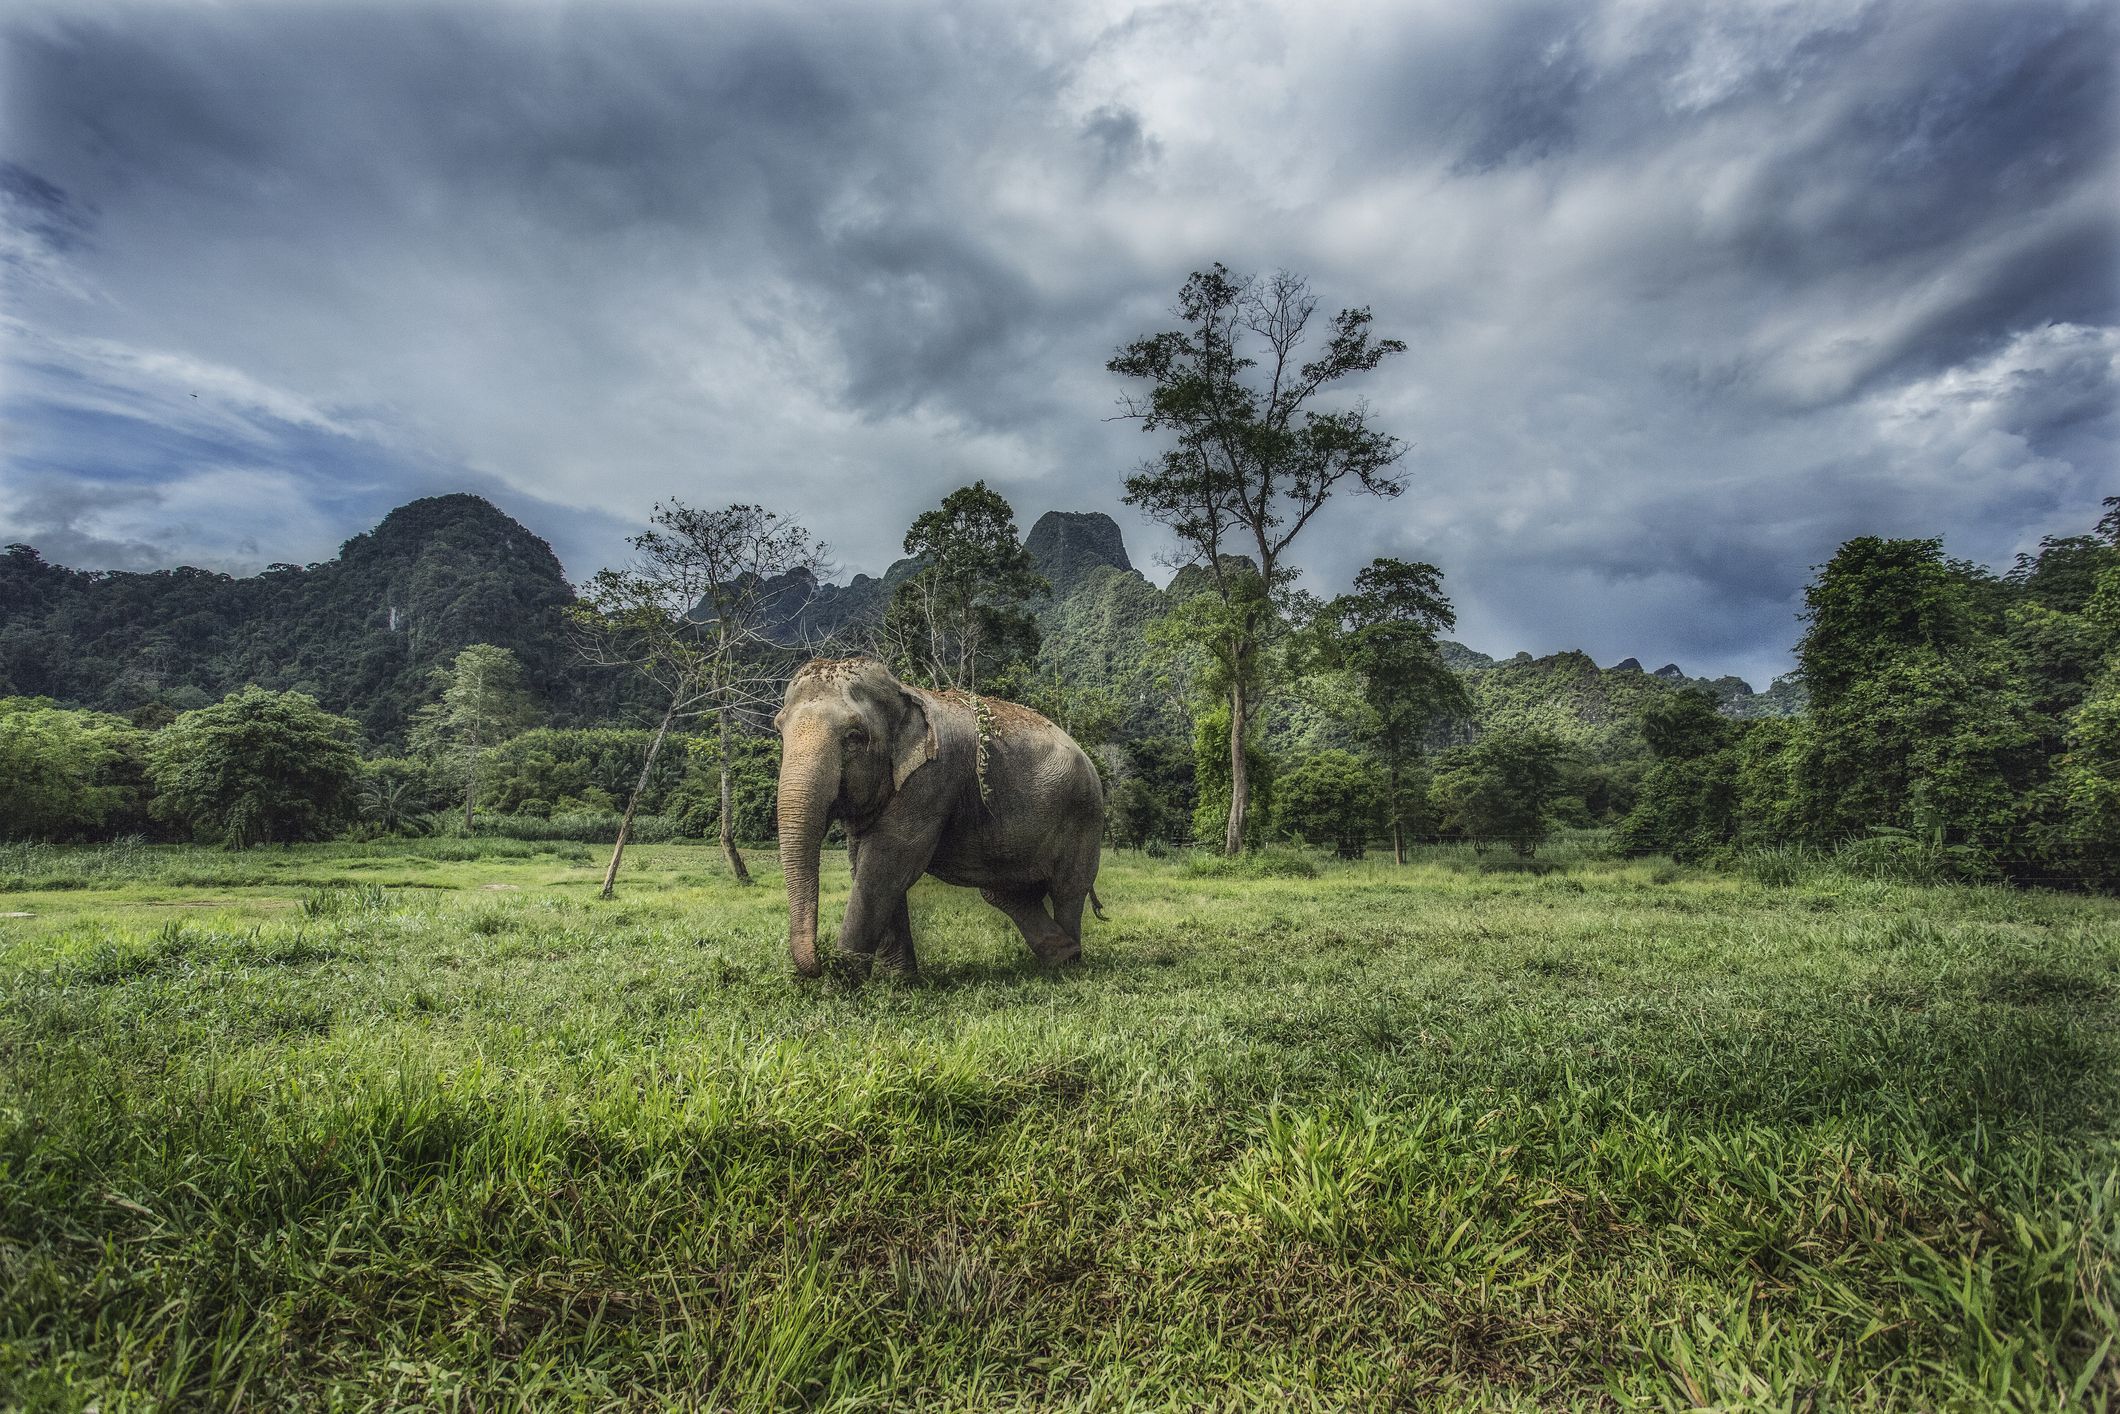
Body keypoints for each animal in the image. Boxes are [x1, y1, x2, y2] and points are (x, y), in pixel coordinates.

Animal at [780, 657, 1110, 979]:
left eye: (853, 737)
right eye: (779, 729)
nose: (818, 963)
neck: (903, 692)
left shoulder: (932, 778)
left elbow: (886, 863)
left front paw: (842, 981)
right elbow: (865, 862)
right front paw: (900, 981)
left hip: (1084, 815)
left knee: (1067, 889)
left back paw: (1069, 964)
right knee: (1005, 891)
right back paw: (1062, 954)